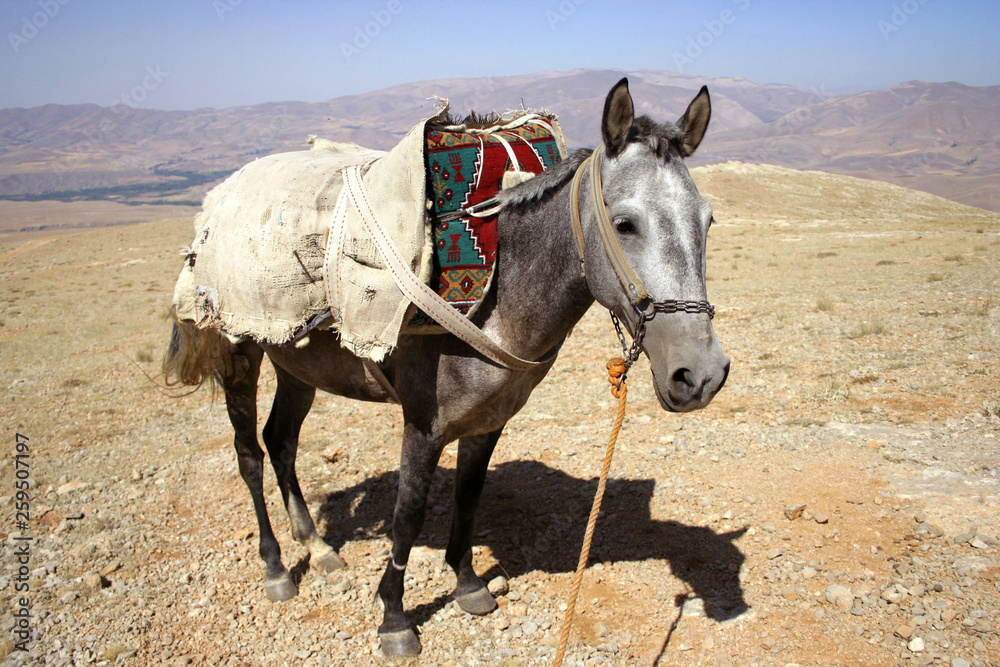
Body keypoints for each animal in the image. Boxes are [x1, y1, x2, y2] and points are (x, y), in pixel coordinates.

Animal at [163, 78, 730, 658]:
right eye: (625, 224)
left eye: (708, 220)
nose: (700, 374)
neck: (500, 292)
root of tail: (214, 207)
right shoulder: (423, 425)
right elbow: (408, 515)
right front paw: (394, 618)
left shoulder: (489, 421)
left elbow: (469, 496)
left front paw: (468, 583)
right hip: (239, 352)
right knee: (249, 455)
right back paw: (277, 567)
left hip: (296, 364)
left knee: (280, 441)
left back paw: (318, 548)